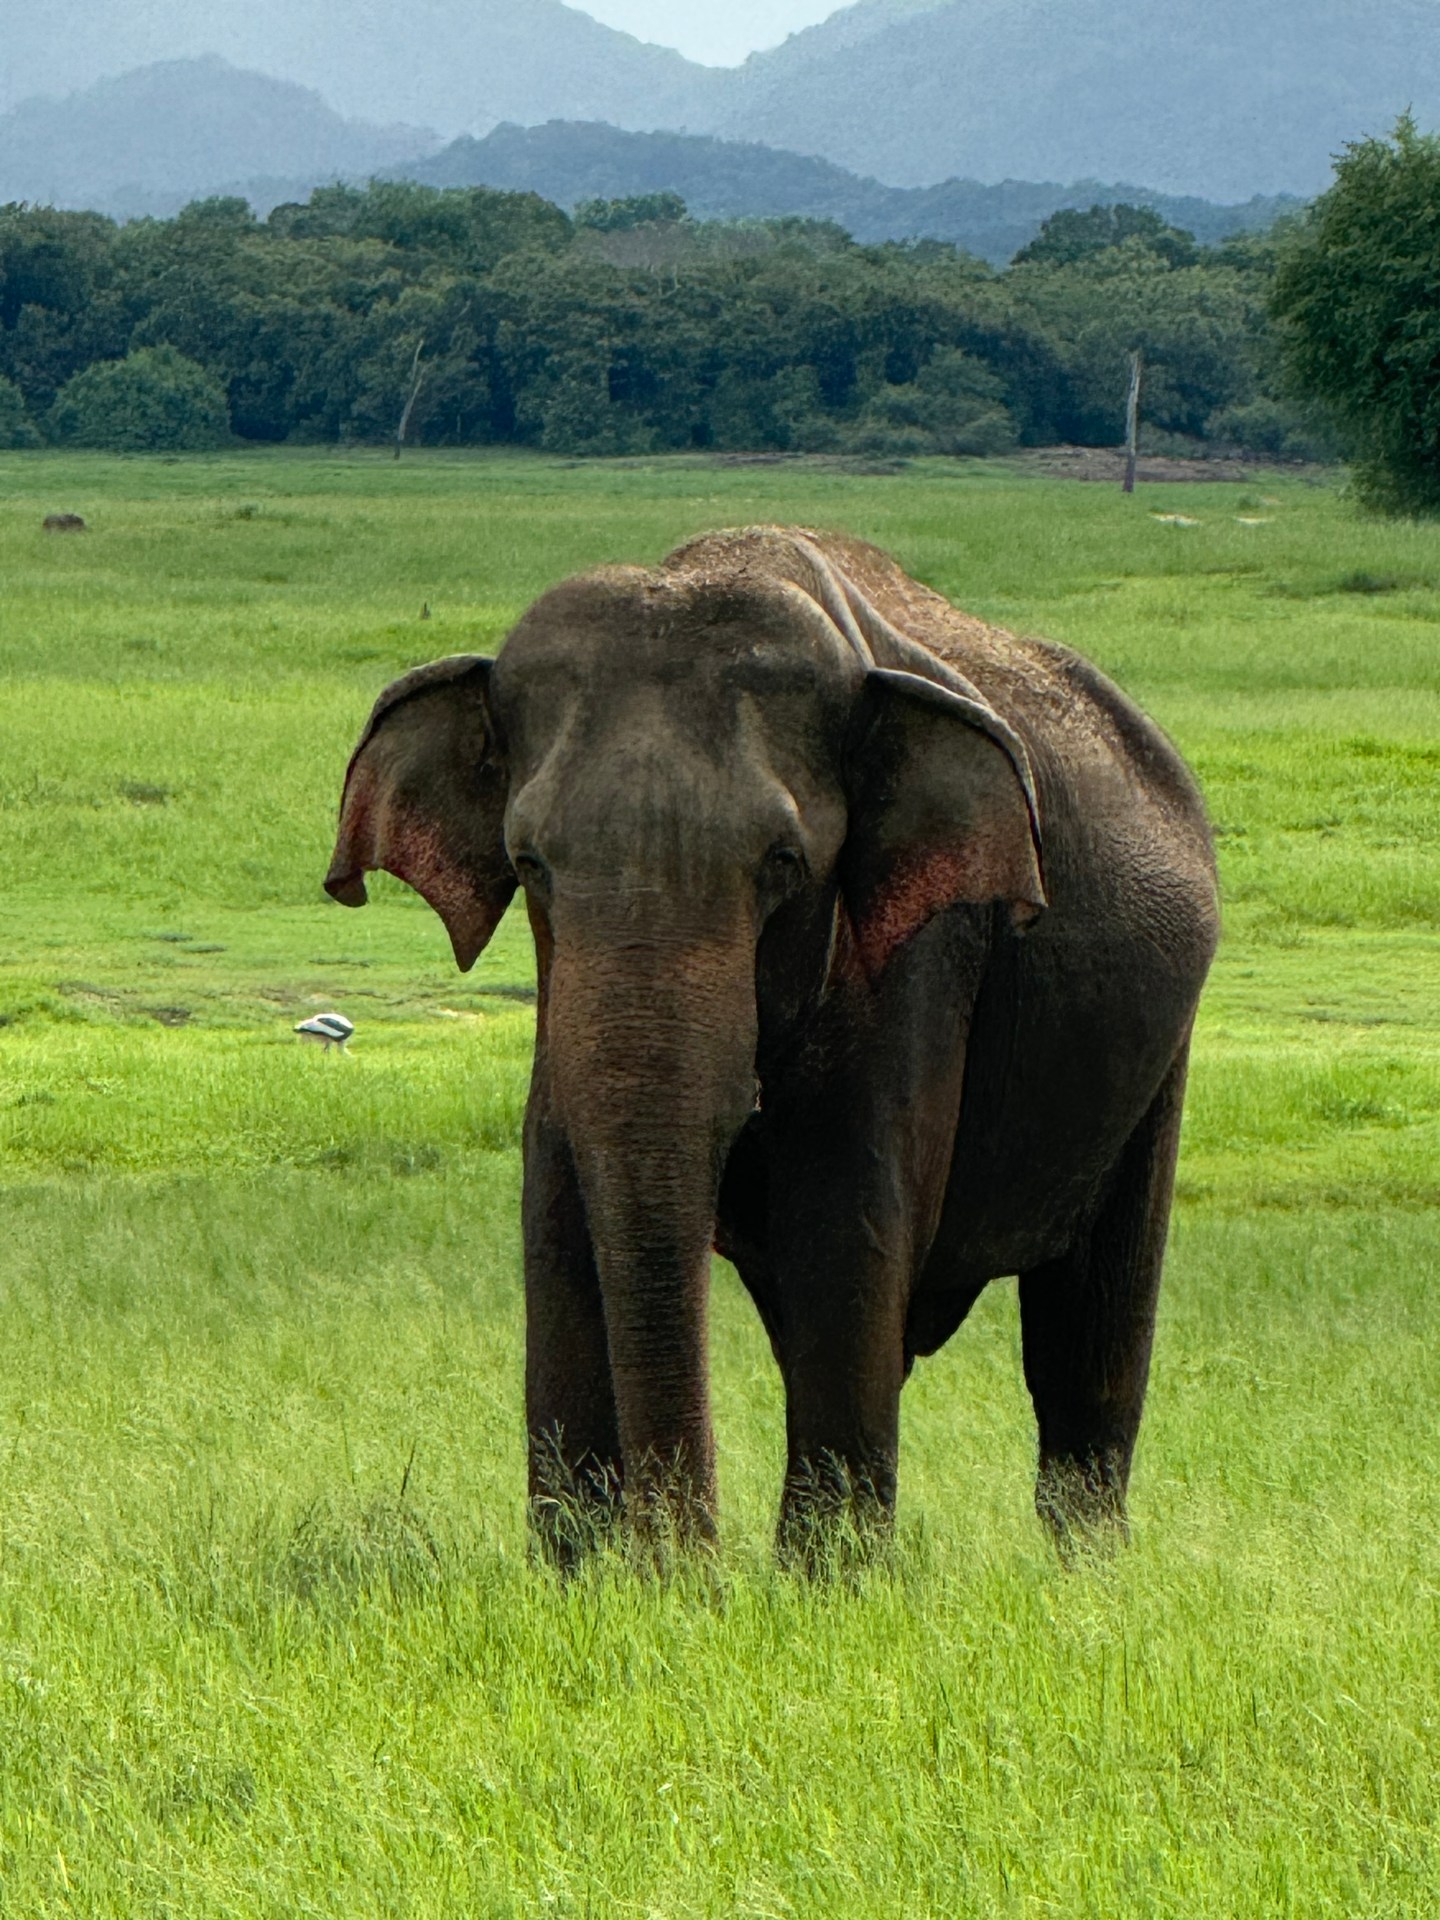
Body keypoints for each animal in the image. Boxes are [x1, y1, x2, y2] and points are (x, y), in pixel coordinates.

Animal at [325, 526, 1218, 1564]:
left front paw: (824, 1578)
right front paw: (583, 1571)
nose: (685, 1569)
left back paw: (1086, 1570)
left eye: (784, 865)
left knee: (1088, 1337)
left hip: (1159, 1056)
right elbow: (557, 1217)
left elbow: (845, 1227)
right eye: (530, 863)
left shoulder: (922, 953)